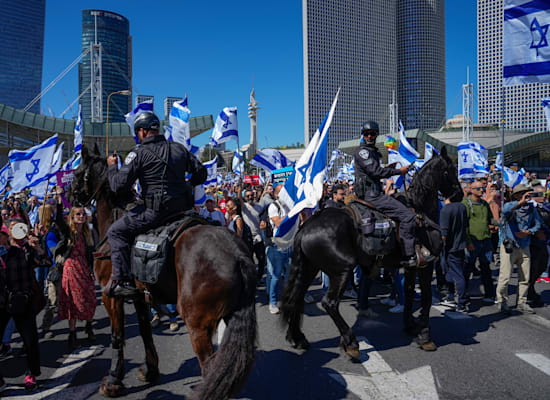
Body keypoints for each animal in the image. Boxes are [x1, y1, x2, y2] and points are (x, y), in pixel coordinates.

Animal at [68, 145, 258, 398]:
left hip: (197, 324)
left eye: (78, 172)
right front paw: (150, 370)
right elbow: (145, 330)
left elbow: (117, 336)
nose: (70, 196)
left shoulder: (111, 295)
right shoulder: (139, 295)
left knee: (210, 367)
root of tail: (236, 255)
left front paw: (113, 380)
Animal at [282, 145, 464, 358]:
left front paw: (410, 325)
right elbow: (426, 299)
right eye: (449, 170)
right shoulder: (426, 264)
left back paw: (298, 338)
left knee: (297, 298)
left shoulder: (412, 266)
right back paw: (351, 343)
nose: (460, 195)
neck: (420, 209)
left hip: (309, 268)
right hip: (342, 270)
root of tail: (305, 228)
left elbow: (410, 293)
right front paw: (425, 336)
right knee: (330, 303)